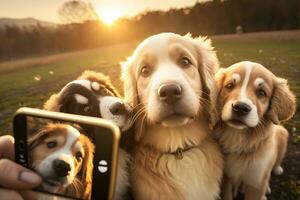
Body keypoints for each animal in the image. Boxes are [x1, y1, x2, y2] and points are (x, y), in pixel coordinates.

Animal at [214, 61, 296, 200]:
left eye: (261, 92)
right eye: (229, 86)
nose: (240, 108)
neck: (238, 137)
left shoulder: (256, 180)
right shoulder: (226, 178)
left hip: (282, 134)